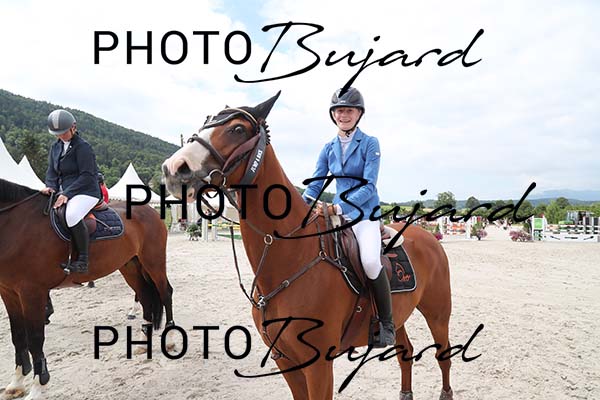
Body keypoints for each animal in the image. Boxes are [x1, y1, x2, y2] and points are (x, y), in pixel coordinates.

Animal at [0, 178, 174, 400]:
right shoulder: (8, 292)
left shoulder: (32, 292)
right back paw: (143, 343)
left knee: (165, 293)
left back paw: (169, 340)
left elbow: (35, 339)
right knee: (145, 298)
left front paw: (38, 387)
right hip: (130, 266)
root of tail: (149, 210)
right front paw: (16, 384)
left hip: (154, 262)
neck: (17, 223)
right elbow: (18, 336)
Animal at [162, 93, 453, 400]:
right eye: (206, 121)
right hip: (399, 316)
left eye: (237, 129)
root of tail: (428, 237)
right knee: (405, 353)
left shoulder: (318, 365)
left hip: (437, 312)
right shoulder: (284, 358)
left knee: (443, 355)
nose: (173, 168)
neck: (291, 257)